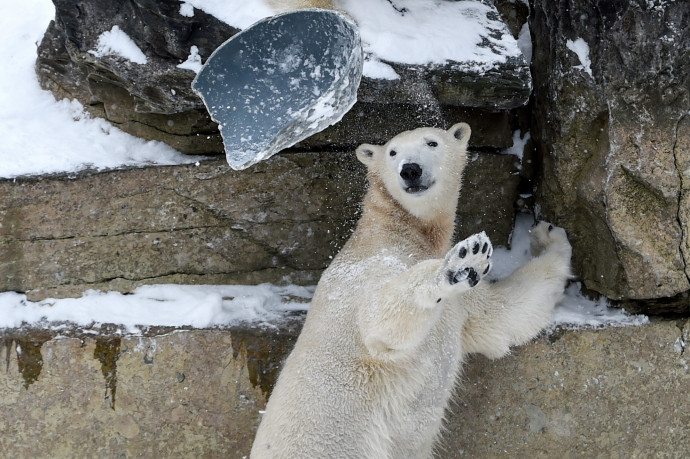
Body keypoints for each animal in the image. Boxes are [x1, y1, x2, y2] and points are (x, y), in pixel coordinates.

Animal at [250, 123, 572, 459]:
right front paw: (461, 264)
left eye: (431, 143)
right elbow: (379, 318)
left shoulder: (461, 306)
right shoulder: (371, 266)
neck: (404, 229)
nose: (410, 170)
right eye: (393, 152)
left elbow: (504, 315)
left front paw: (549, 235)